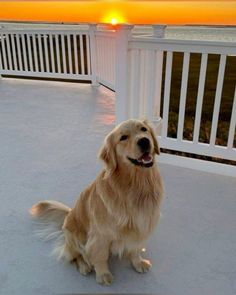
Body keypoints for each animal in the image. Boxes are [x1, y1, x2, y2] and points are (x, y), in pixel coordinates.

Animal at [30, 119, 164, 286]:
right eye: (123, 137)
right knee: (75, 255)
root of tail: (68, 214)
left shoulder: (142, 225)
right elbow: (100, 257)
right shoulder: (100, 235)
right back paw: (84, 265)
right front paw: (103, 274)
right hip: (74, 237)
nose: (144, 141)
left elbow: (135, 248)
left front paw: (138, 262)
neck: (136, 186)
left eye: (143, 129)